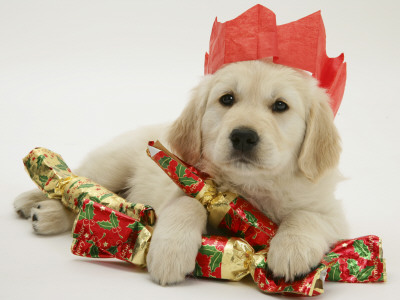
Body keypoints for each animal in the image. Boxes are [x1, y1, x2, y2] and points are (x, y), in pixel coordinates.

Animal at [14, 59, 346, 284]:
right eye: (227, 99)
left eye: (280, 106)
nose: (243, 136)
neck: (250, 186)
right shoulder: (184, 183)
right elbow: (187, 204)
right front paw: (170, 252)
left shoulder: (333, 215)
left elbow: (307, 216)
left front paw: (291, 250)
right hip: (114, 163)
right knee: (77, 184)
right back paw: (36, 205)